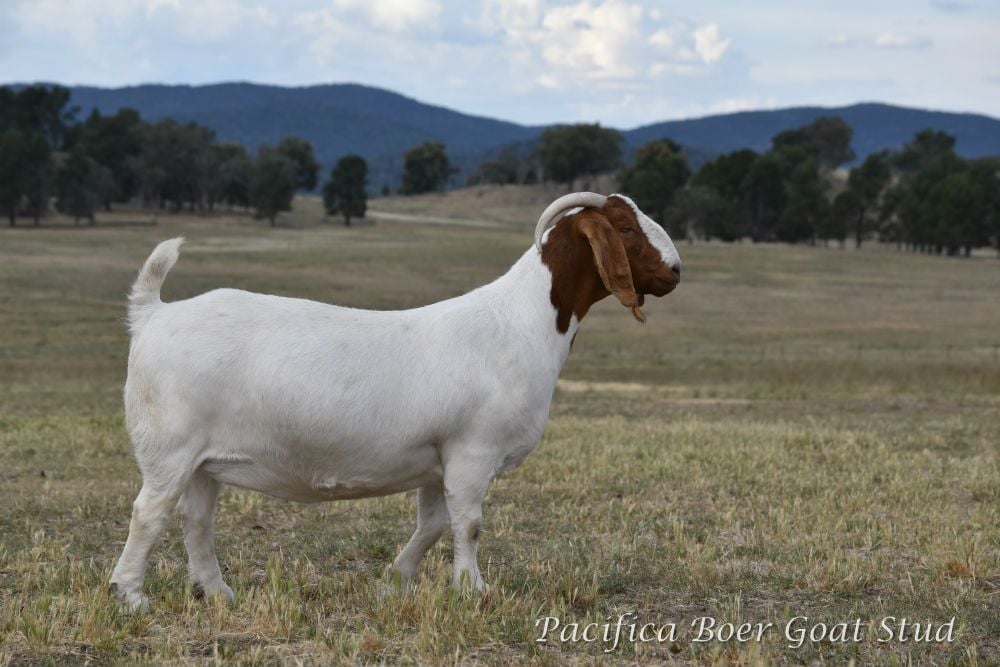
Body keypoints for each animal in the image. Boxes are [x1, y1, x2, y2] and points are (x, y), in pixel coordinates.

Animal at [109, 192, 681, 610]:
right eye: (626, 229)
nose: (675, 270)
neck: (519, 322)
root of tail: (154, 313)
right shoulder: (473, 451)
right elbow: (469, 524)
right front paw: (473, 591)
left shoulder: (438, 458)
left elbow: (433, 524)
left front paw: (395, 580)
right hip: (169, 446)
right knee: (149, 514)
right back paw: (130, 596)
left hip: (203, 459)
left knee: (196, 521)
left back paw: (217, 593)